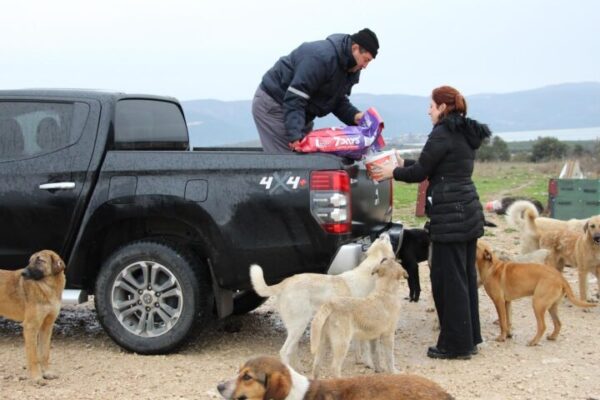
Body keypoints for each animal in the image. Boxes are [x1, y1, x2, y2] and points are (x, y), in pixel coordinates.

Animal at [0, 248, 66, 382]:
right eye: (30, 261)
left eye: (40, 260)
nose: (23, 273)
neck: (47, 288)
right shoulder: (30, 327)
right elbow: (34, 356)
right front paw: (36, 377)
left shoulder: (47, 327)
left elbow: (45, 353)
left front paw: (47, 373)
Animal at [248, 233, 394, 368]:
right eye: (384, 240)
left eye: (379, 239)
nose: (383, 234)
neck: (366, 273)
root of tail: (284, 283)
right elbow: (365, 347)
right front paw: (368, 363)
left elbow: (357, 345)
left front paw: (359, 360)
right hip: (299, 325)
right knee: (284, 351)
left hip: (295, 328)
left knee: (292, 350)